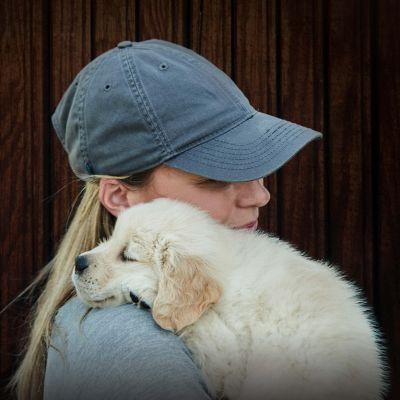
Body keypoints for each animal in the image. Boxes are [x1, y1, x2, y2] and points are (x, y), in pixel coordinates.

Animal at [71, 198, 388, 400]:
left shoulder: (230, 357)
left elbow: (197, 324)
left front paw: (148, 297)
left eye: (128, 256)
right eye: (111, 239)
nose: (78, 263)